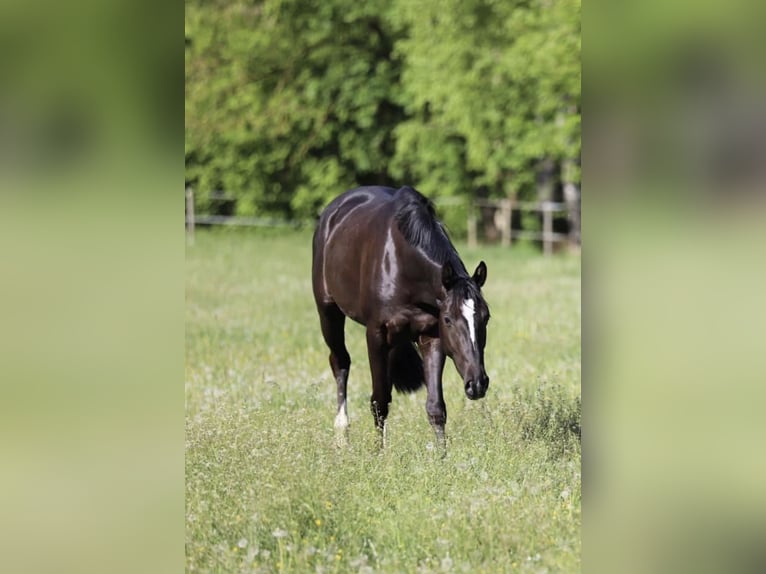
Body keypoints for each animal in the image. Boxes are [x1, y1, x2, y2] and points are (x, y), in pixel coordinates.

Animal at [312, 185, 491, 445]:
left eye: (486, 318)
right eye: (448, 319)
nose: (477, 384)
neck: (402, 264)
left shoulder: (431, 335)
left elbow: (436, 407)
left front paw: (443, 453)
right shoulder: (376, 334)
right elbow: (379, 402)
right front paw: (378, 452)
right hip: (328, 312)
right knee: (340, 362)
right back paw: (342, 433)